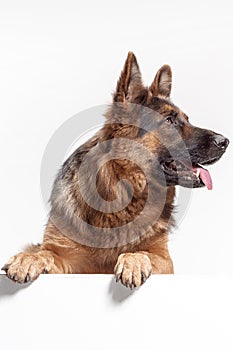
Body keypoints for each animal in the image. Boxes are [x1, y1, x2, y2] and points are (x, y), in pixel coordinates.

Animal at [0, 52, 228, 288]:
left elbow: (143, 252)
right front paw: (28, 258)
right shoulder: (66, 256)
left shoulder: (164, 259)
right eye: (170, 121)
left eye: (187, 120)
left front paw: (133, 261)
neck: (121, 190)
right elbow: (45, 252)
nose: (225, 141)